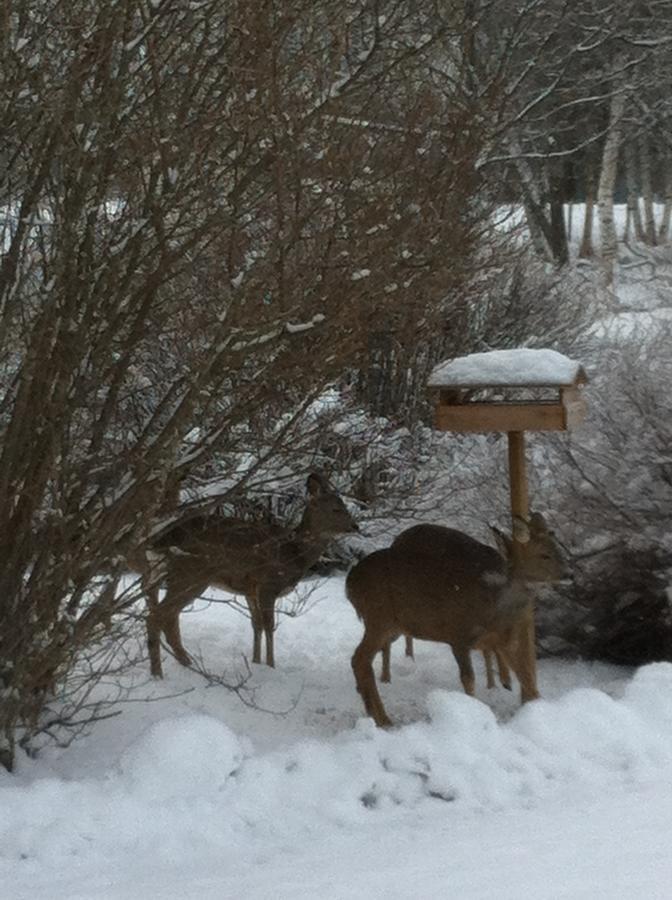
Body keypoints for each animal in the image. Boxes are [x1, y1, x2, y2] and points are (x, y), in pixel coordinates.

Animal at [140, 474, 356, 680]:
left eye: (343, 505)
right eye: (336, 509)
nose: (355, 526)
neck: (294, 553)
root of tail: (159, 540)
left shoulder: (250, 590)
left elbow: (256, 624)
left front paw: (256, 662)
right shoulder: (268, 584)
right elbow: (269, 625)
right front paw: (271, 665)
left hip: (166, 574)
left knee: (165, 613)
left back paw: (186, 662)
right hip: (191, 573)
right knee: (158, 615)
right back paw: (158, 673)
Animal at [346, 512, 568, 724]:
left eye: (558, 548)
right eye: (544, 555)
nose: (569, 574)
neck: (492, 606)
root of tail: (350, 583)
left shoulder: (501, 640)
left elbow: (526, 676)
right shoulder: (458, 634)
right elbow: (468, 678)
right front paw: (471, 711)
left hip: (389, 625)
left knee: (364, 659)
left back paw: (375, 712)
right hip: (379, 617)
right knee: (359, 658)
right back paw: (383, 718)